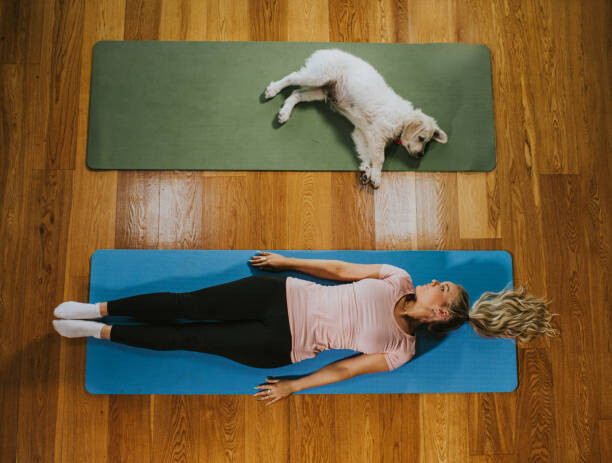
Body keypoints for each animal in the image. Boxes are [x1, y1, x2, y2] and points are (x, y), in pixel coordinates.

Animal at [266, 49, 448, 188]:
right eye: (421, 138)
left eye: (428, 142)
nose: (420, 156)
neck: (401, 119)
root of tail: (327, 50)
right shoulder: (376, 135)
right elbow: (379, 158)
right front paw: (376, 176)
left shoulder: (362, 134)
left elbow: (366, 154)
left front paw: (367, 171)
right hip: (316, 77)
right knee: (291, 78)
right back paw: (272, 90)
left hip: (320, 92)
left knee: (295, 94)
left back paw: (284, 113)